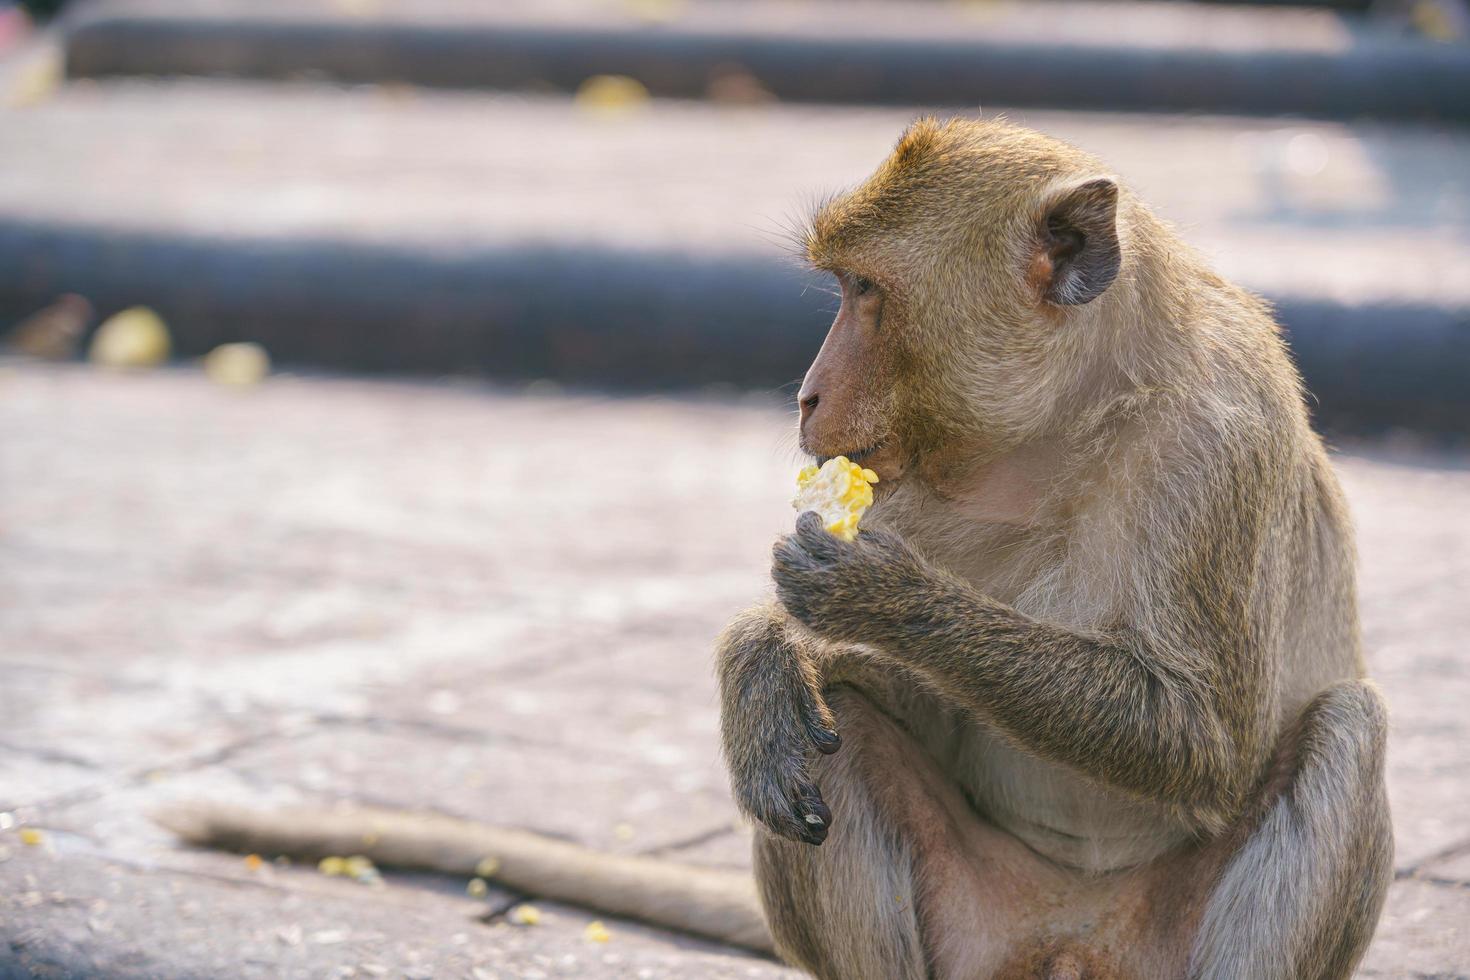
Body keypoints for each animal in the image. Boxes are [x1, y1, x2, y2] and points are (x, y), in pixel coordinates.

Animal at [160, 116, 1387, 980]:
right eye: (836, 286)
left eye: (867, 292)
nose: (804, 394)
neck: (1065, 427)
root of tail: (1067, 938)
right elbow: (842, 693)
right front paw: (764, 654)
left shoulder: (1214, 448)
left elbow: (1202, 736)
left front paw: (885, 599)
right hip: (979, 928)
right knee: (832, 749)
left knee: (1343, 731)